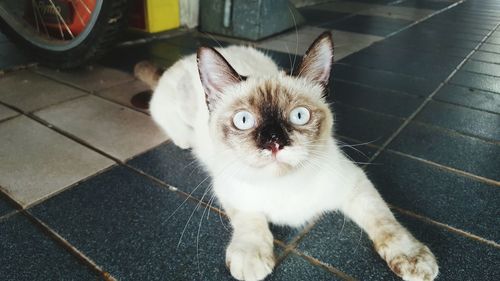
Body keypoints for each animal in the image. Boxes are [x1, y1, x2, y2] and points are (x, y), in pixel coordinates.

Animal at [136, 31, 438, 280]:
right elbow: (250, 221)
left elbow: (386, 223)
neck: (283, 185)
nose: (274, 143)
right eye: (243, 120)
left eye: (299, 116)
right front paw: (251, 258)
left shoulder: (355, 184)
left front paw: (414, 260)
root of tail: (183, 59)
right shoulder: (230, 191)